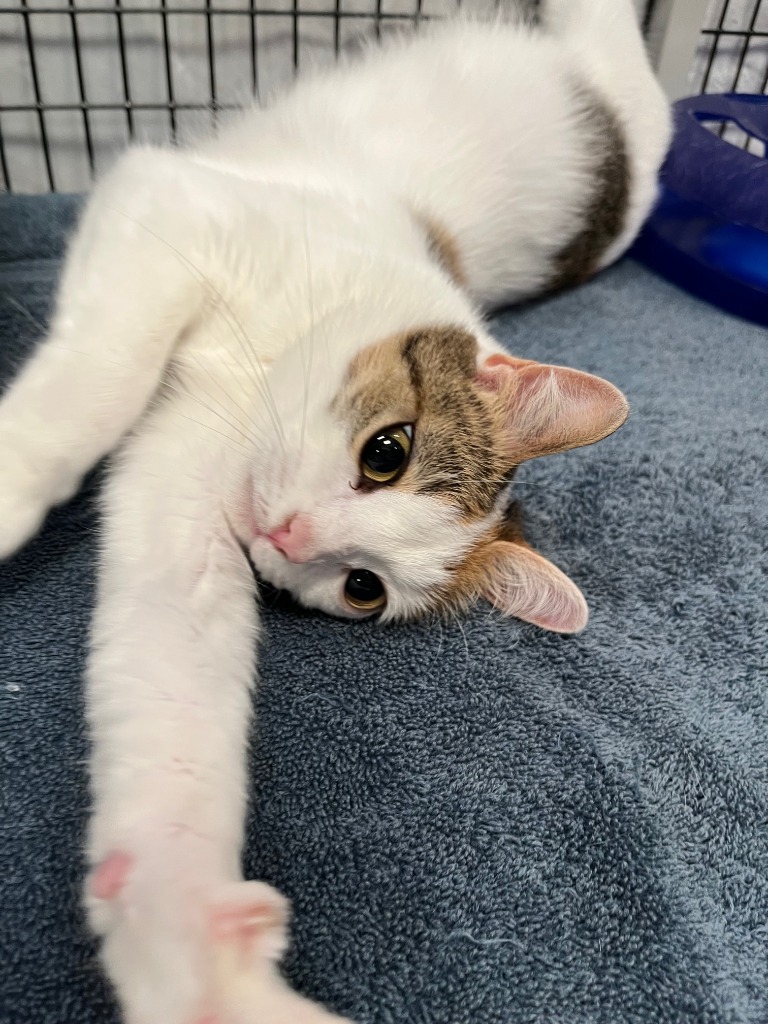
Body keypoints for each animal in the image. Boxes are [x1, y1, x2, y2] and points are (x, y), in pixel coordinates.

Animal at [0, 1, 670, 1022]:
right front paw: (9, 479)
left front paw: (197, 955)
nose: (289, 537)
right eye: (385, 452)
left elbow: (173, 670)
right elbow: (98, 386)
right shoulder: (174, 203)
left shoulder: (193, 495)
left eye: (363, 589)